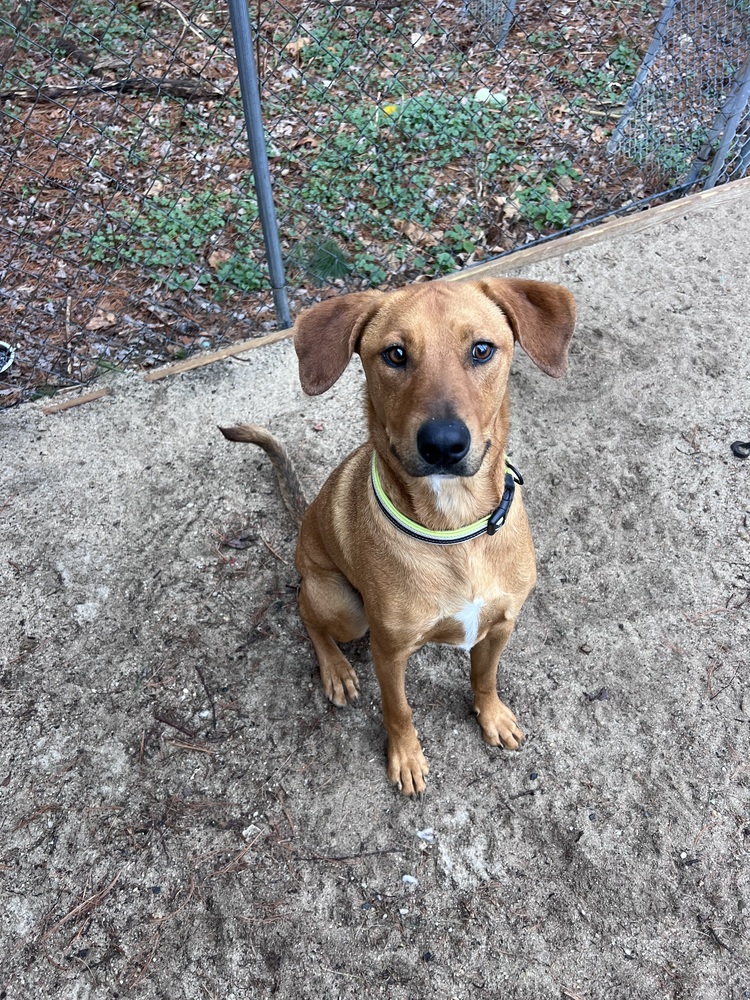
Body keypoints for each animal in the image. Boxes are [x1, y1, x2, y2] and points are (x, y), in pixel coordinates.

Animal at [223, 278, 576, 792]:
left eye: (482, 349)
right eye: (394, 355)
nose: (444, 445)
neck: (455, 529)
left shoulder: (502, 624)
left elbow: (485, 677)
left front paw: (491, 716)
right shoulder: (388, 652)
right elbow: (399, 711)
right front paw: (406, 758)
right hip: (345, 609)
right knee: (305, 611)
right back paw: (335, 669)